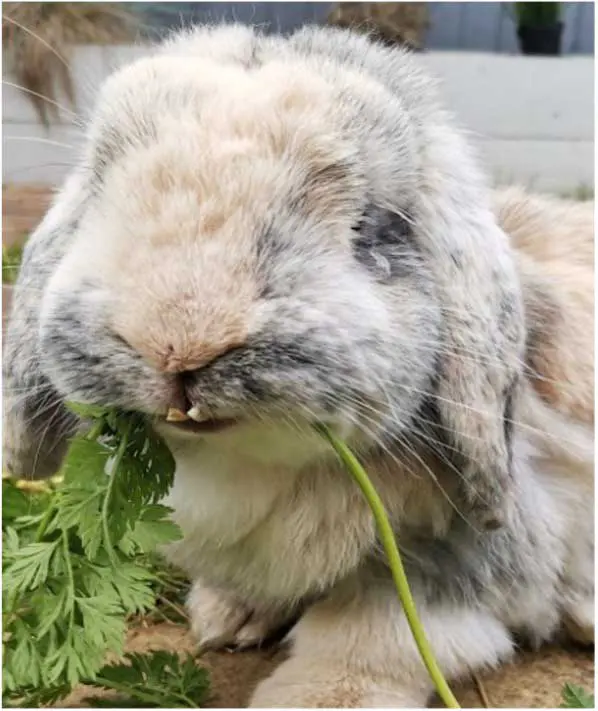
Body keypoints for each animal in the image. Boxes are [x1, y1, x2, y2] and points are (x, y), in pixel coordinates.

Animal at [3, 25, 593, 708]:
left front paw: (316, 696)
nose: (178, 344)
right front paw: (224, 618)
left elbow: (376, 633)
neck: (245, 467)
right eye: (99, 187)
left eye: (373, 227)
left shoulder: (457, 557)